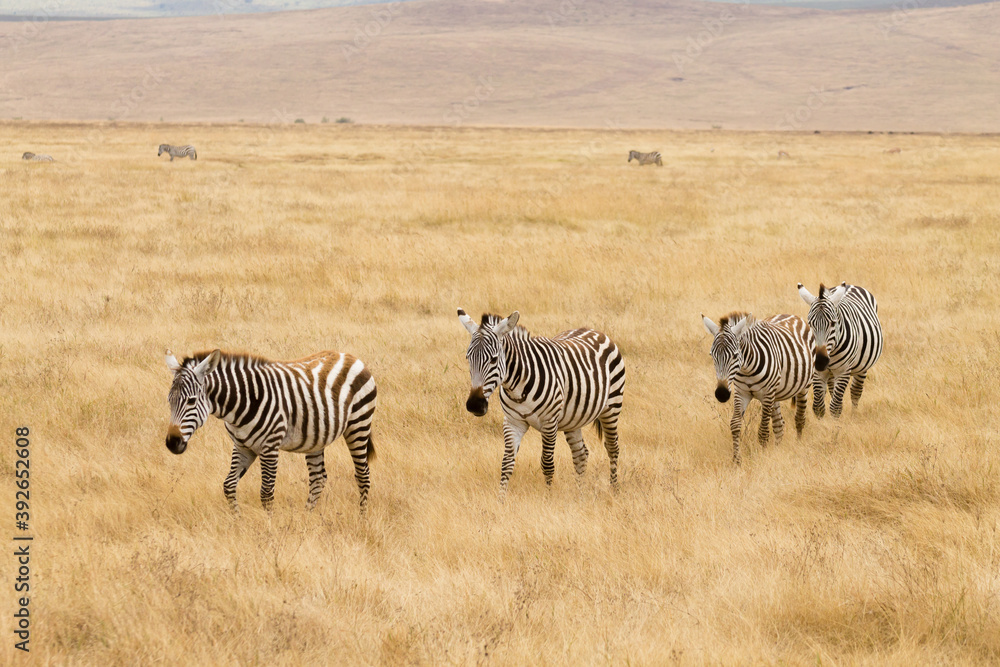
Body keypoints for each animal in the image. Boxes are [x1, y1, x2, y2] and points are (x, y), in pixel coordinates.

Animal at [164, 348, 377, 514]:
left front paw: (269, 531)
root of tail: (349, 356)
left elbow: (266, 493)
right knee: (318, 479)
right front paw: (237, 522)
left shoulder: (270, 447)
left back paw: (362, 519)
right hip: (317, 436)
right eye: (169, 401)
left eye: (191, 401)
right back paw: (306, 518)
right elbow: (229, 486)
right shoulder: (242, 446)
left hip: (358, 424)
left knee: (363, 475)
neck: (242, 404)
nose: (172, 443)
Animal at [457, 309, 625, 497]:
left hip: (612, 406)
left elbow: (547, 463)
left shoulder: (549, 422)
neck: (517, 387)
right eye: (468, 358)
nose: (474, 405)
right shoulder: (513, 423)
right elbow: (506, 463)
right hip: (574, 418)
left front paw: (548, 497)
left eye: (493, 359)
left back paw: (614, 489)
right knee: (581, 454)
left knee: (612, 448)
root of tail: (594, 331)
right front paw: (501, 499)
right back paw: (580, 494)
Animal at [702, 312, 815, 464]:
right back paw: (777, 450)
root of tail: (790, 315)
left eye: (735, 355)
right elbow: (735, 425)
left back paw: (798, 444)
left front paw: (763, 457)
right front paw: (736, 460)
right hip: (775, 394)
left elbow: (763, 431)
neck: (746, 369)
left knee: (799, 418)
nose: (721, 394)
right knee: (779, 425)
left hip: (803, 387)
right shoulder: (741, 393)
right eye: (712, 355)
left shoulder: (767, 394)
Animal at [797, 282, 883, 419]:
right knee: (832, 389)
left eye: (833, 323)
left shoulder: (843, 370)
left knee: (856, 390)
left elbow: (835, 407)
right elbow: (818, 406)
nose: (820, 361)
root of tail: (850, 285)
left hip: (863, 366)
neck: (830, 353)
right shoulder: (818, 372)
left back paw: (854, 414)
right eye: (810, 323)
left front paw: (835, 423)